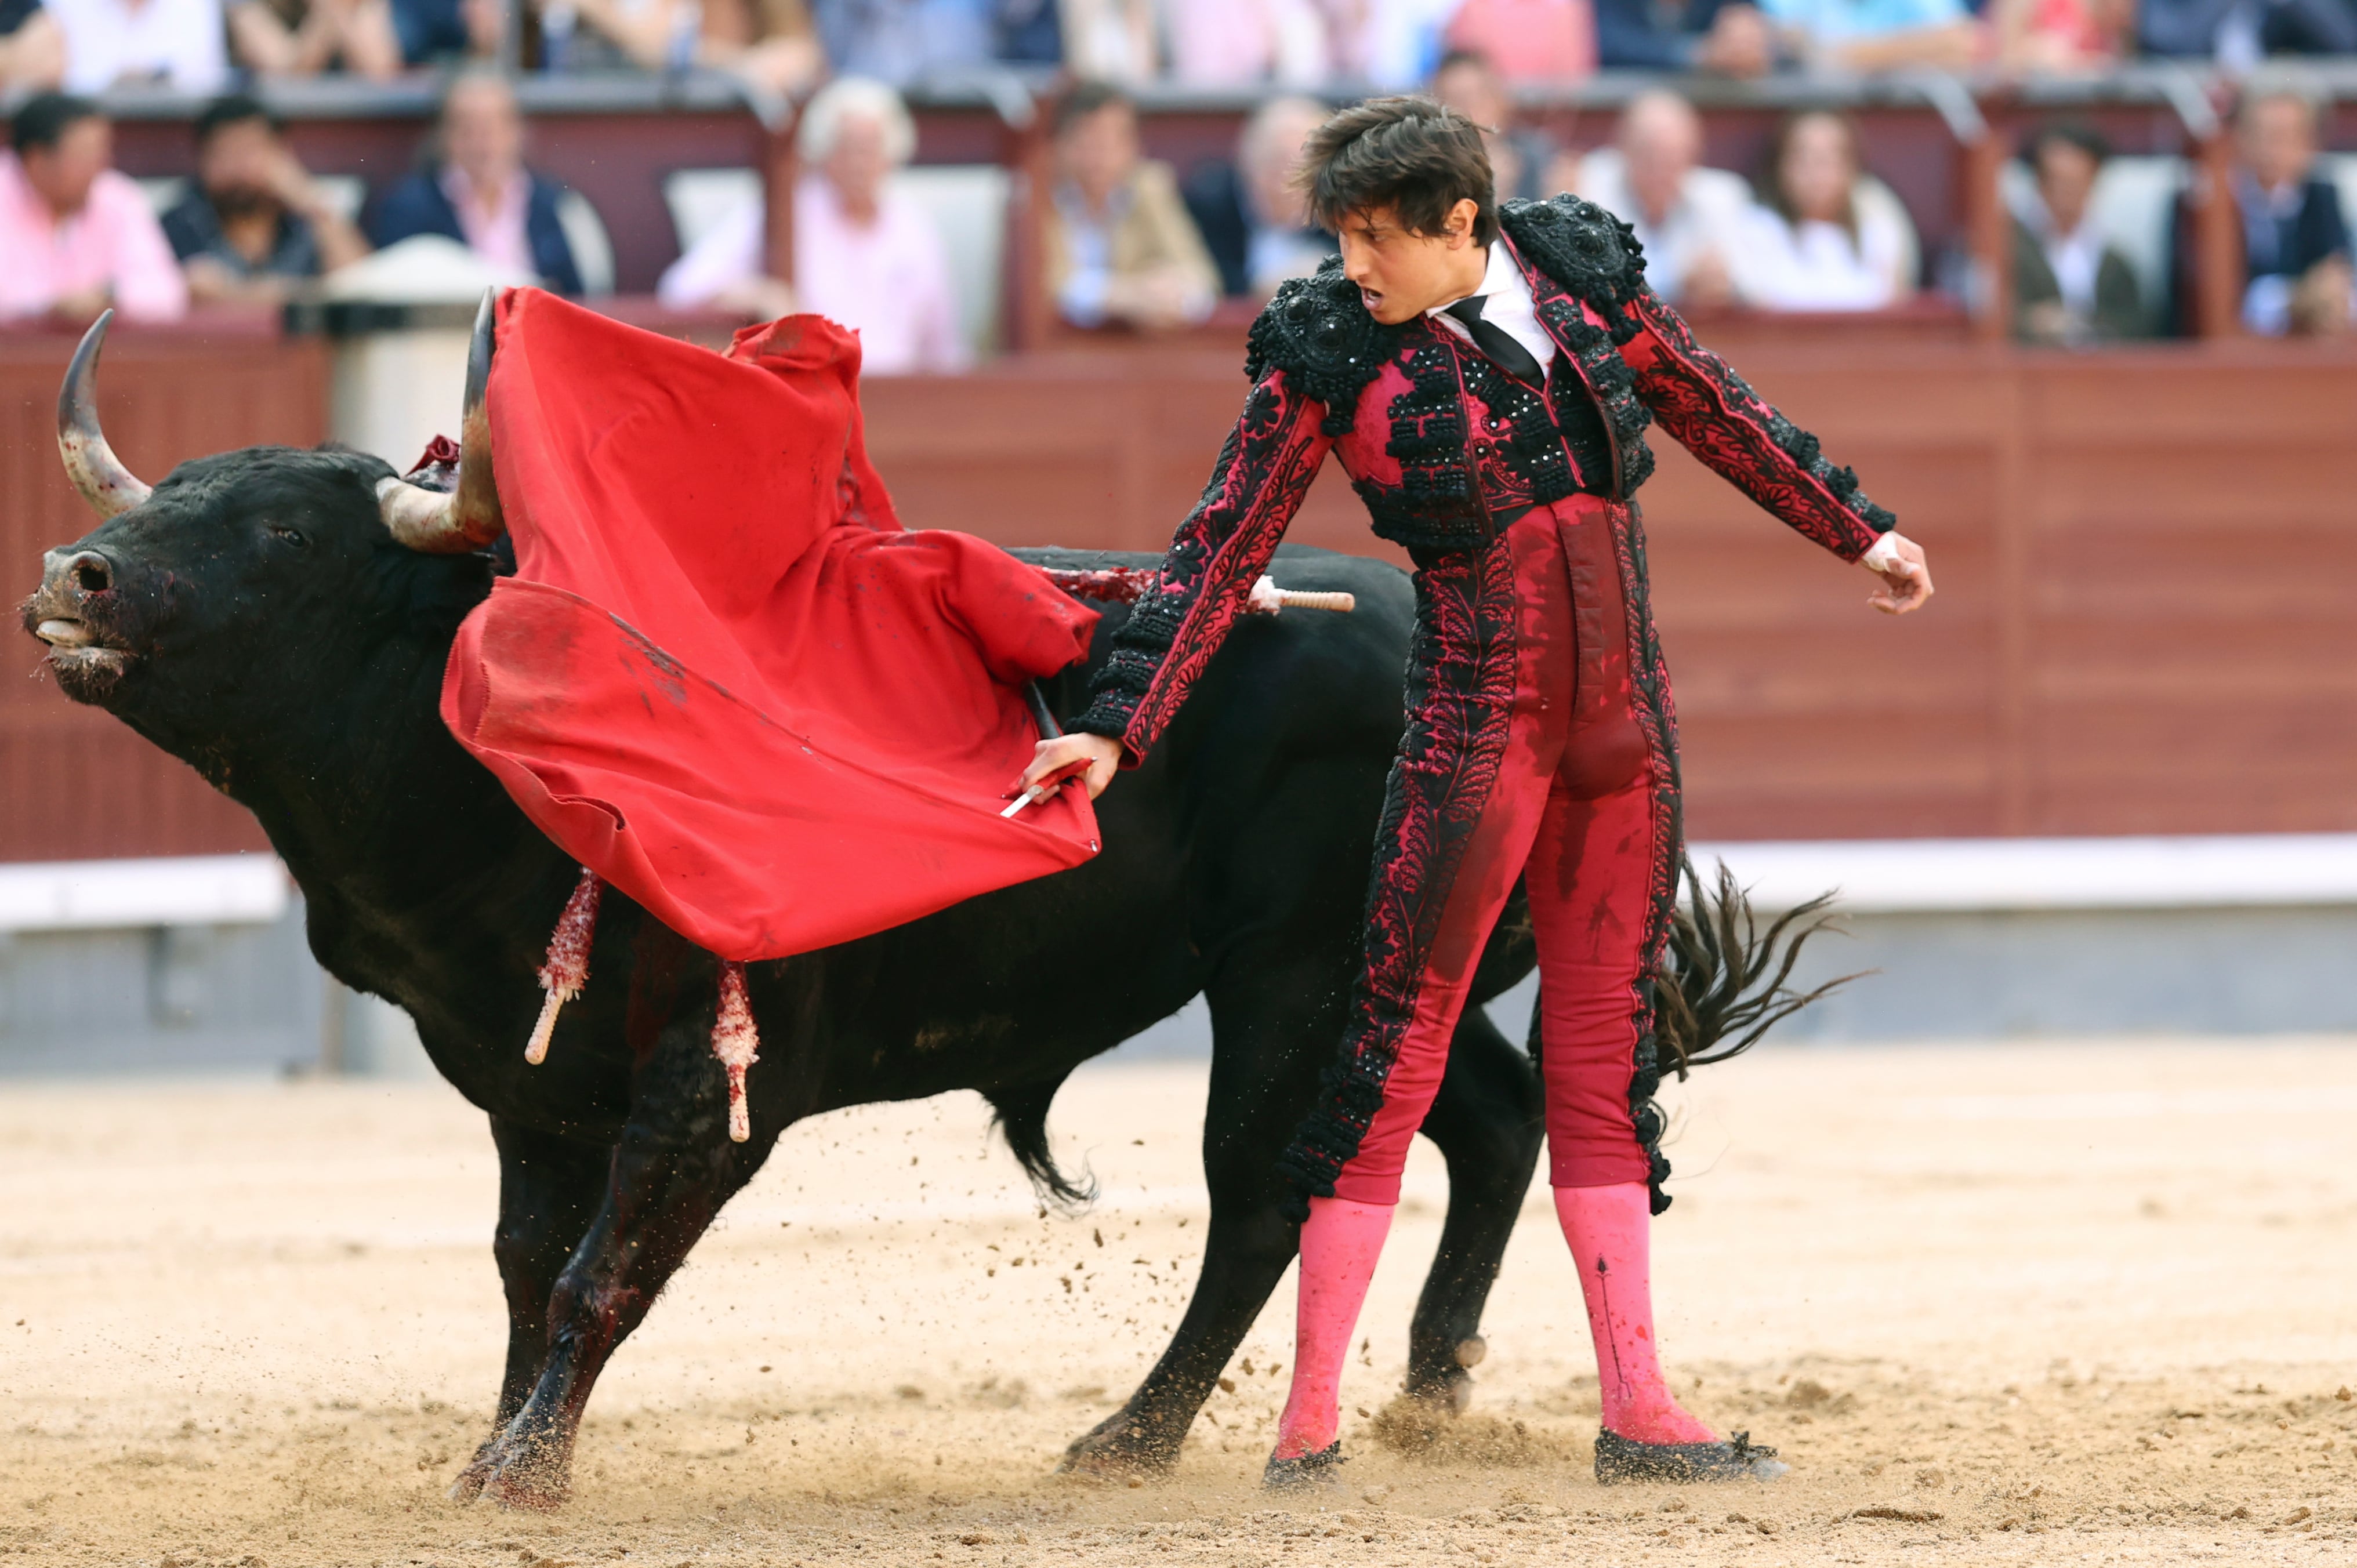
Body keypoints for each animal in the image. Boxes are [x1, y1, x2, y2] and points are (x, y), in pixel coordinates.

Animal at [18, 308, 1829, 1509]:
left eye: (280, 532)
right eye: (166, 496)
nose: (72, 578)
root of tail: (1450, 631)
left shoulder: (713, 1086)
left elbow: (605, 1270)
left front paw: (520, 1477)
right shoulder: (518, 1074)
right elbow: (531, 1266)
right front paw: (501, 1449)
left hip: (1297, 975)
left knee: (1267, 1190)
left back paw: (1133, 1440)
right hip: (1389, 976)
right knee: (1494, 1116)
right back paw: (1431, 1402)